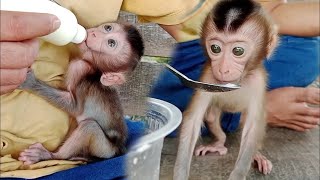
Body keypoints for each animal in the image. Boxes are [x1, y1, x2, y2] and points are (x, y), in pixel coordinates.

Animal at [16, 22, 144, 165]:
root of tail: (119, 149)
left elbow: (75, 107)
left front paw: (31, 82)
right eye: (108, 28)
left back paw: (49, 155)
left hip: (105, 150)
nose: (94, 34)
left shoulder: (80, 68)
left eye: (111, 43)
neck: (95, 69)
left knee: (89, 126)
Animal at [172, 0, 278, 179]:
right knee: (211, 117)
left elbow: (252, 128)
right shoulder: (207, 77)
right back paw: (218, 144)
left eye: (238, 51)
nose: (222, 69)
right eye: (215, 48)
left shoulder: (258, 81)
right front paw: (180, 174)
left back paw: (257, 156)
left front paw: (238, 174)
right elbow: (192, 121)